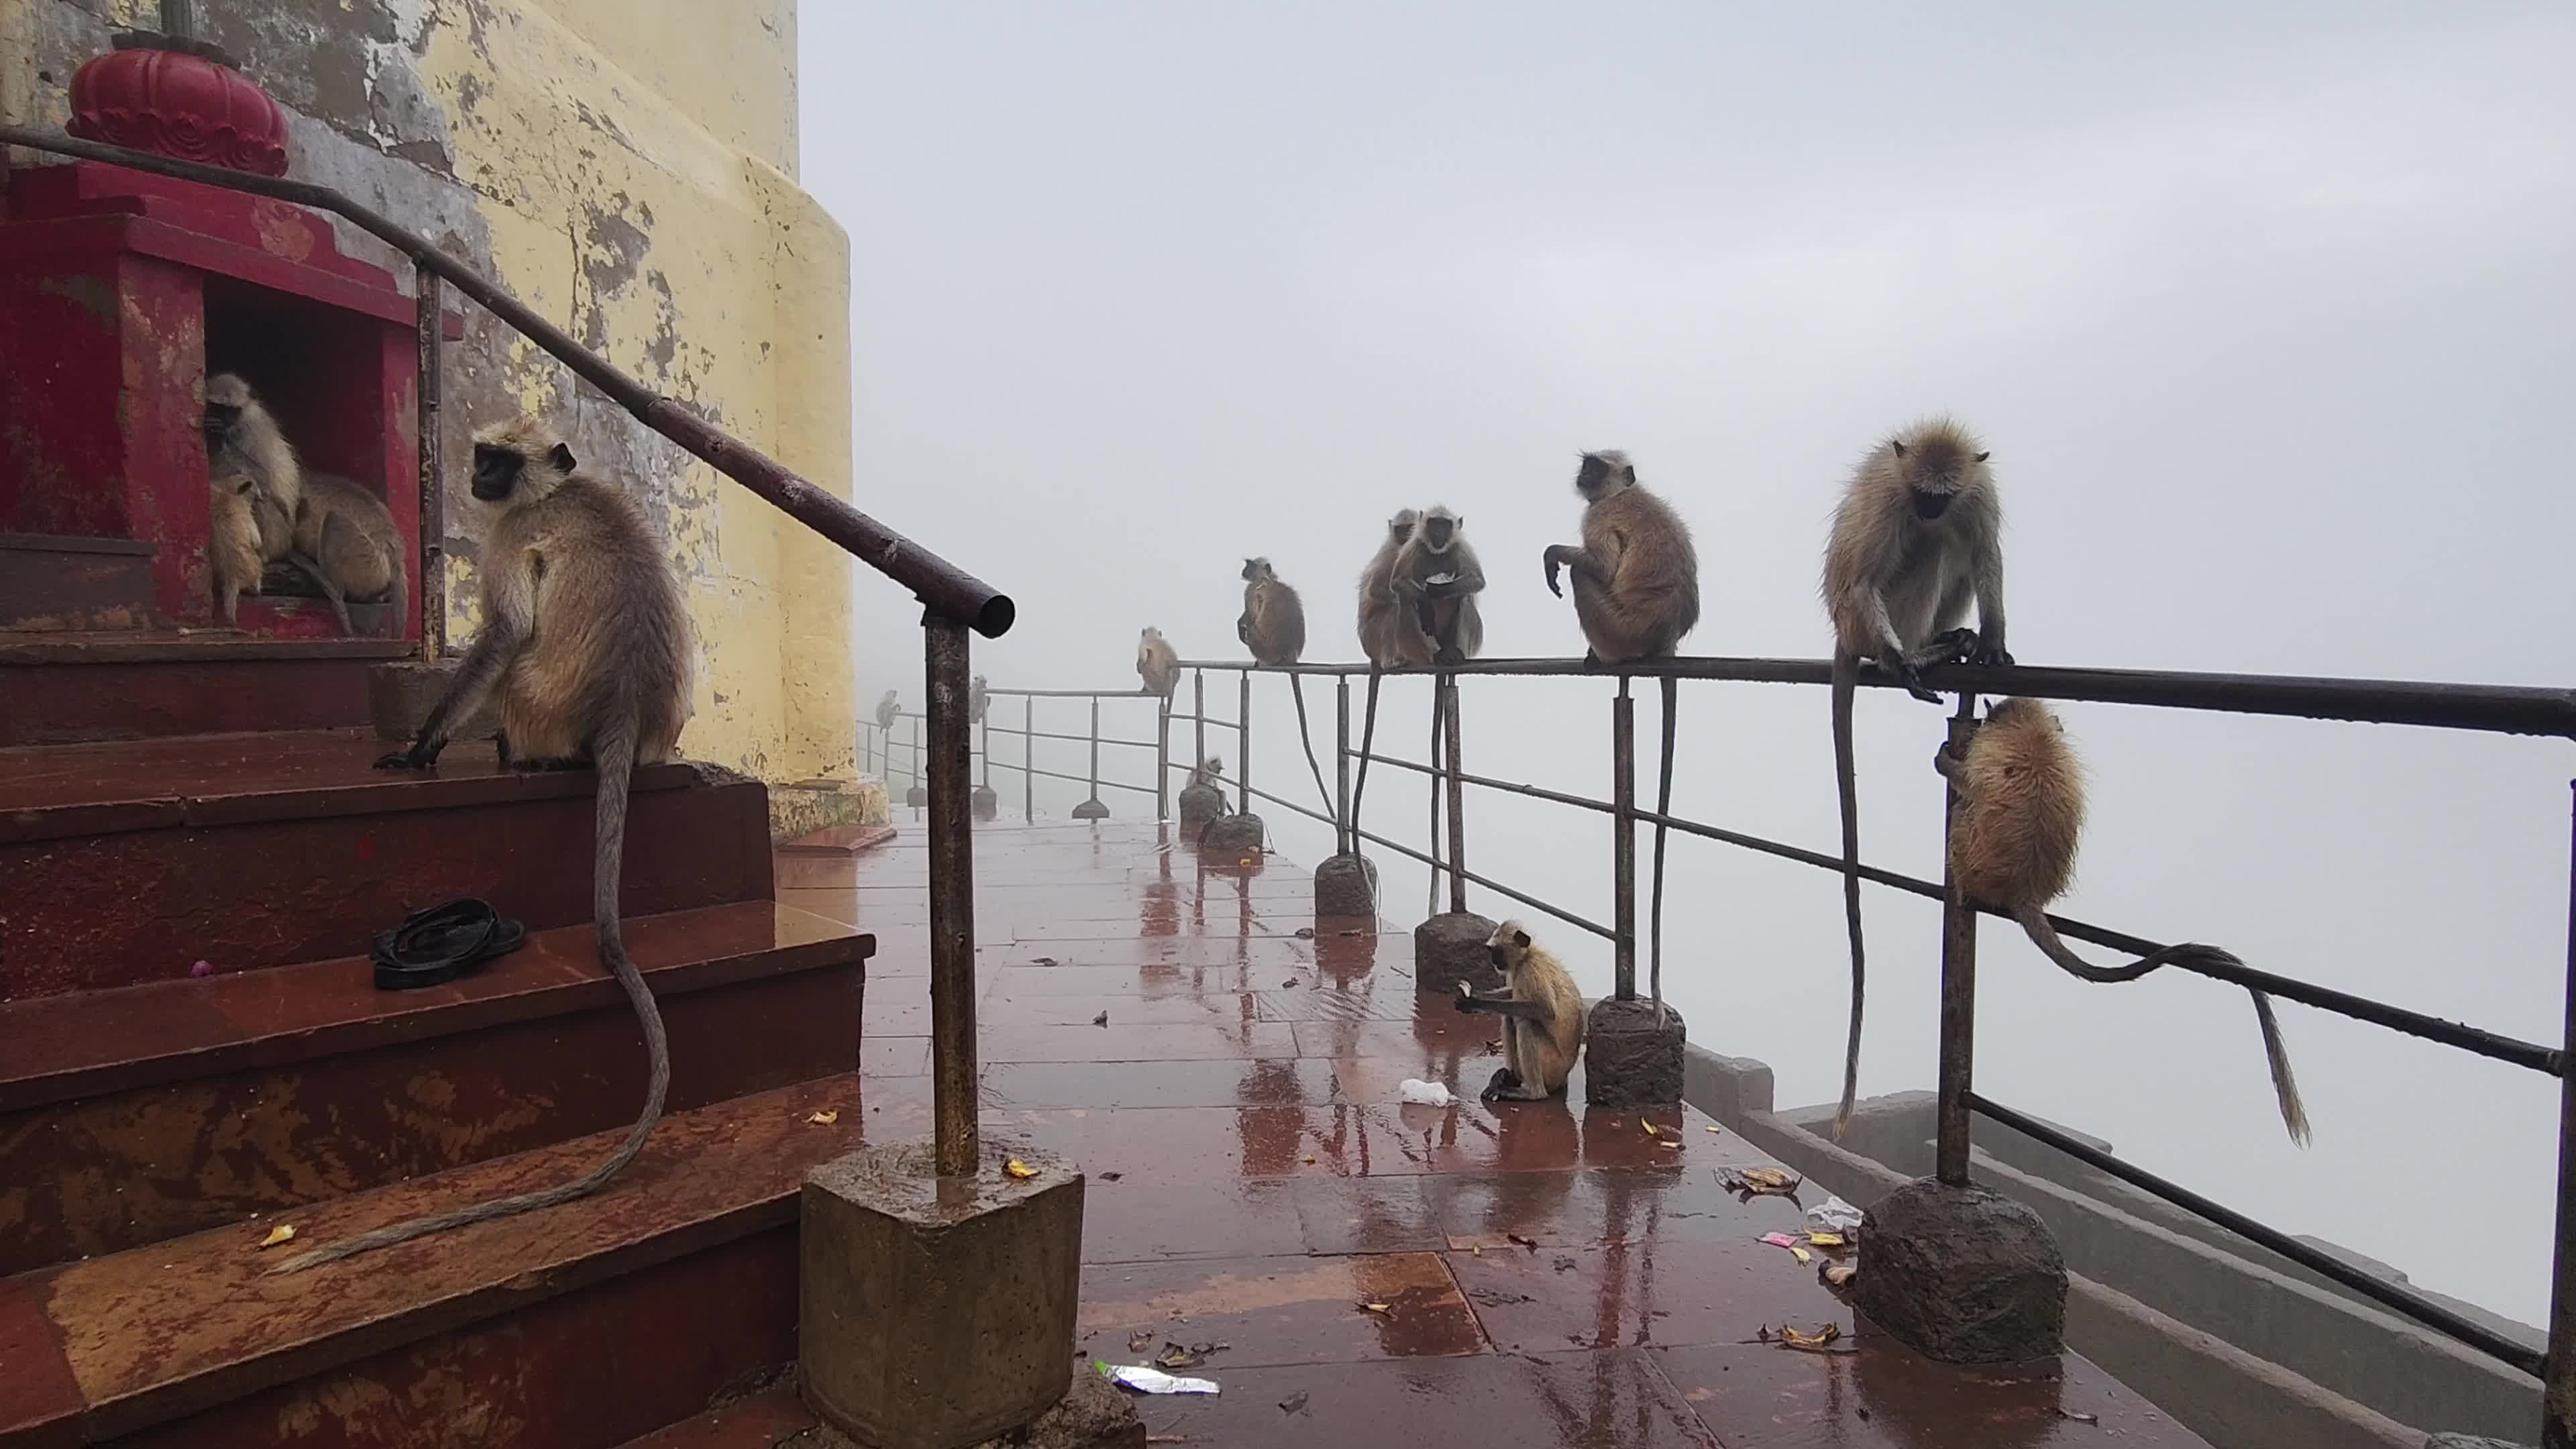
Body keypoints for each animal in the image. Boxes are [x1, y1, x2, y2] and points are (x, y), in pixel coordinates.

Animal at [1238, 558, 1334, 818]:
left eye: (1249, 565)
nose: (1243, 571)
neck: (1268, 578)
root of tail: (1289, 654)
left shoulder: (1252, 590)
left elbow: (1248, 614)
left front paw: (1240, 624)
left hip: (1261, 645)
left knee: (1250, 629)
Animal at [1452, 920, 1586, 1102]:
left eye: (1497, 951)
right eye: (1491, 951)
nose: (1493, 961)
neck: (1527, 956)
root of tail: (1565, 1078)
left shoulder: (1531, 970)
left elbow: (1545, 1010)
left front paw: (1473, 1002)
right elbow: (1511, 992)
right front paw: (1472, 995)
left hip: (1554, 1068)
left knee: (1526, 1022)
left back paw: (1533, 1093)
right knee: (1509, 1017)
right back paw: (1511, 1077)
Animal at [1542, 451, 1700, 1026]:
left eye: (1595, 467)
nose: (1583, 477)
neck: (1621, 493)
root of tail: (1664, 638)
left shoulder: (1599, 517)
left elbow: (1600, 565)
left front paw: (1556, 554)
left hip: (1616, 626)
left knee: (1586, 578)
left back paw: (1600, 655)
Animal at [1821, 417, 2008, 1141]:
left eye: (1942, 492)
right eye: (1922, 494)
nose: (1930, 510)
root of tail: (1845, 640)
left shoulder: (1975, 494)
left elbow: (1984, 556)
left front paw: (1993, 637)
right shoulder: (1892, 503)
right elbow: (1864, 572)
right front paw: (1905, 663)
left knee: (1952, 550)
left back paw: (1949, 641)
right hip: (1872, 614)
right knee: (1917, 559)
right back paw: (1905, 654)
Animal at [1936, 697, 2311, 1145]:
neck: (2031, 733)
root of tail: (2025, 891)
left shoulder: (1990, 752)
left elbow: (1967, 781)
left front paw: (1945, 761)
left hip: (1967, 852)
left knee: (1964, 813)